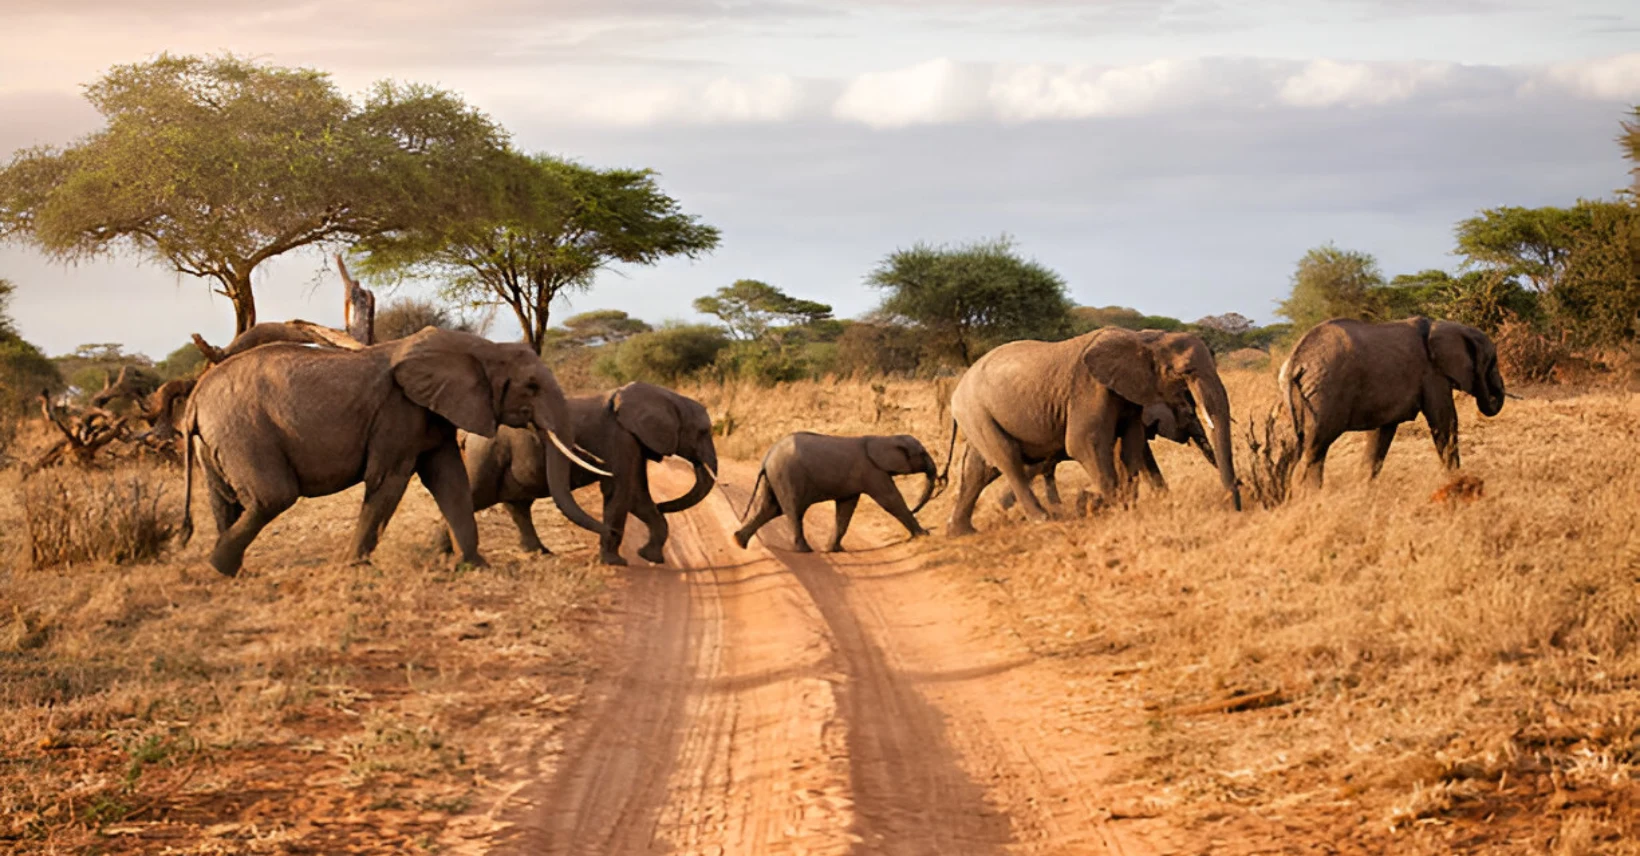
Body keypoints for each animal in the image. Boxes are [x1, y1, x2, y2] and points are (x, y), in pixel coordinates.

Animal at [177, 326, 609, 576]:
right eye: (531, 387)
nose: (611, 537)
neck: (479, 349)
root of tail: (195, 396)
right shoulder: (398, 411)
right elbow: (389, 479)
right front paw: (354, 567)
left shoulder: (432, 414)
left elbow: (451, 480)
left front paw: (475, 565)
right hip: (245, 431)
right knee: (273, 497)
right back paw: (219, 566)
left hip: (215, 440)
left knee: (225, 500)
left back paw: (228, 571)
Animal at [450, 381, 719, 566]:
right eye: (703, 432)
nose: (665, 504)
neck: (667, 396)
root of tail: (467, 434)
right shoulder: (619, 439)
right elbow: (620, 492)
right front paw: (616, 562)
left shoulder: (634, 442)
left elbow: (637, 495)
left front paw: (650, 557)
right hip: (487, 454)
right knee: (476, 496)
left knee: (518, 505)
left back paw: (539, 553)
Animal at [733, 432, 936, 553]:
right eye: (923, 454)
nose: (916, 507)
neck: (885, 437)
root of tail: (767, 457)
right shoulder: (872, 471)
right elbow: (891, 500)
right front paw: (924, 535)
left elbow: (846, 509)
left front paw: (835, 550)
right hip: (788, 476)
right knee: (793, 510)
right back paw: (806, 550)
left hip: (776, 477)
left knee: (772, 508)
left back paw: (739, 542)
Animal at [1278, 316, 1504, 489]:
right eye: (1492, 362)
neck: (1444, 325)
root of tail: (1295, 363)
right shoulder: (1432, 375)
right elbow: (1445, 422)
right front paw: (1457, 480)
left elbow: (1381, 433)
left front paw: (1364, 488)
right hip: (1325, 395)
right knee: (1315, 449)